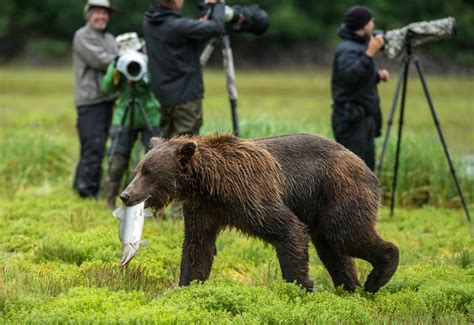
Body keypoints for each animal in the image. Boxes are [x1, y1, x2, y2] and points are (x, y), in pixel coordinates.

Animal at [120, 133, 398, 292]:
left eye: (149, 172)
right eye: (138, 169)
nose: (125, 195)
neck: (211, 183)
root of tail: (366, 165)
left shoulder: (250, 193)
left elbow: (287, 229)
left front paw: (300, 286)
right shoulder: (204, 209)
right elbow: (197, 247)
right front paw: (187, 285)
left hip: (339, 190)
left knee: (347, 235)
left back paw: (376, 277)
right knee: (333, 248)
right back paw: (349, 287)